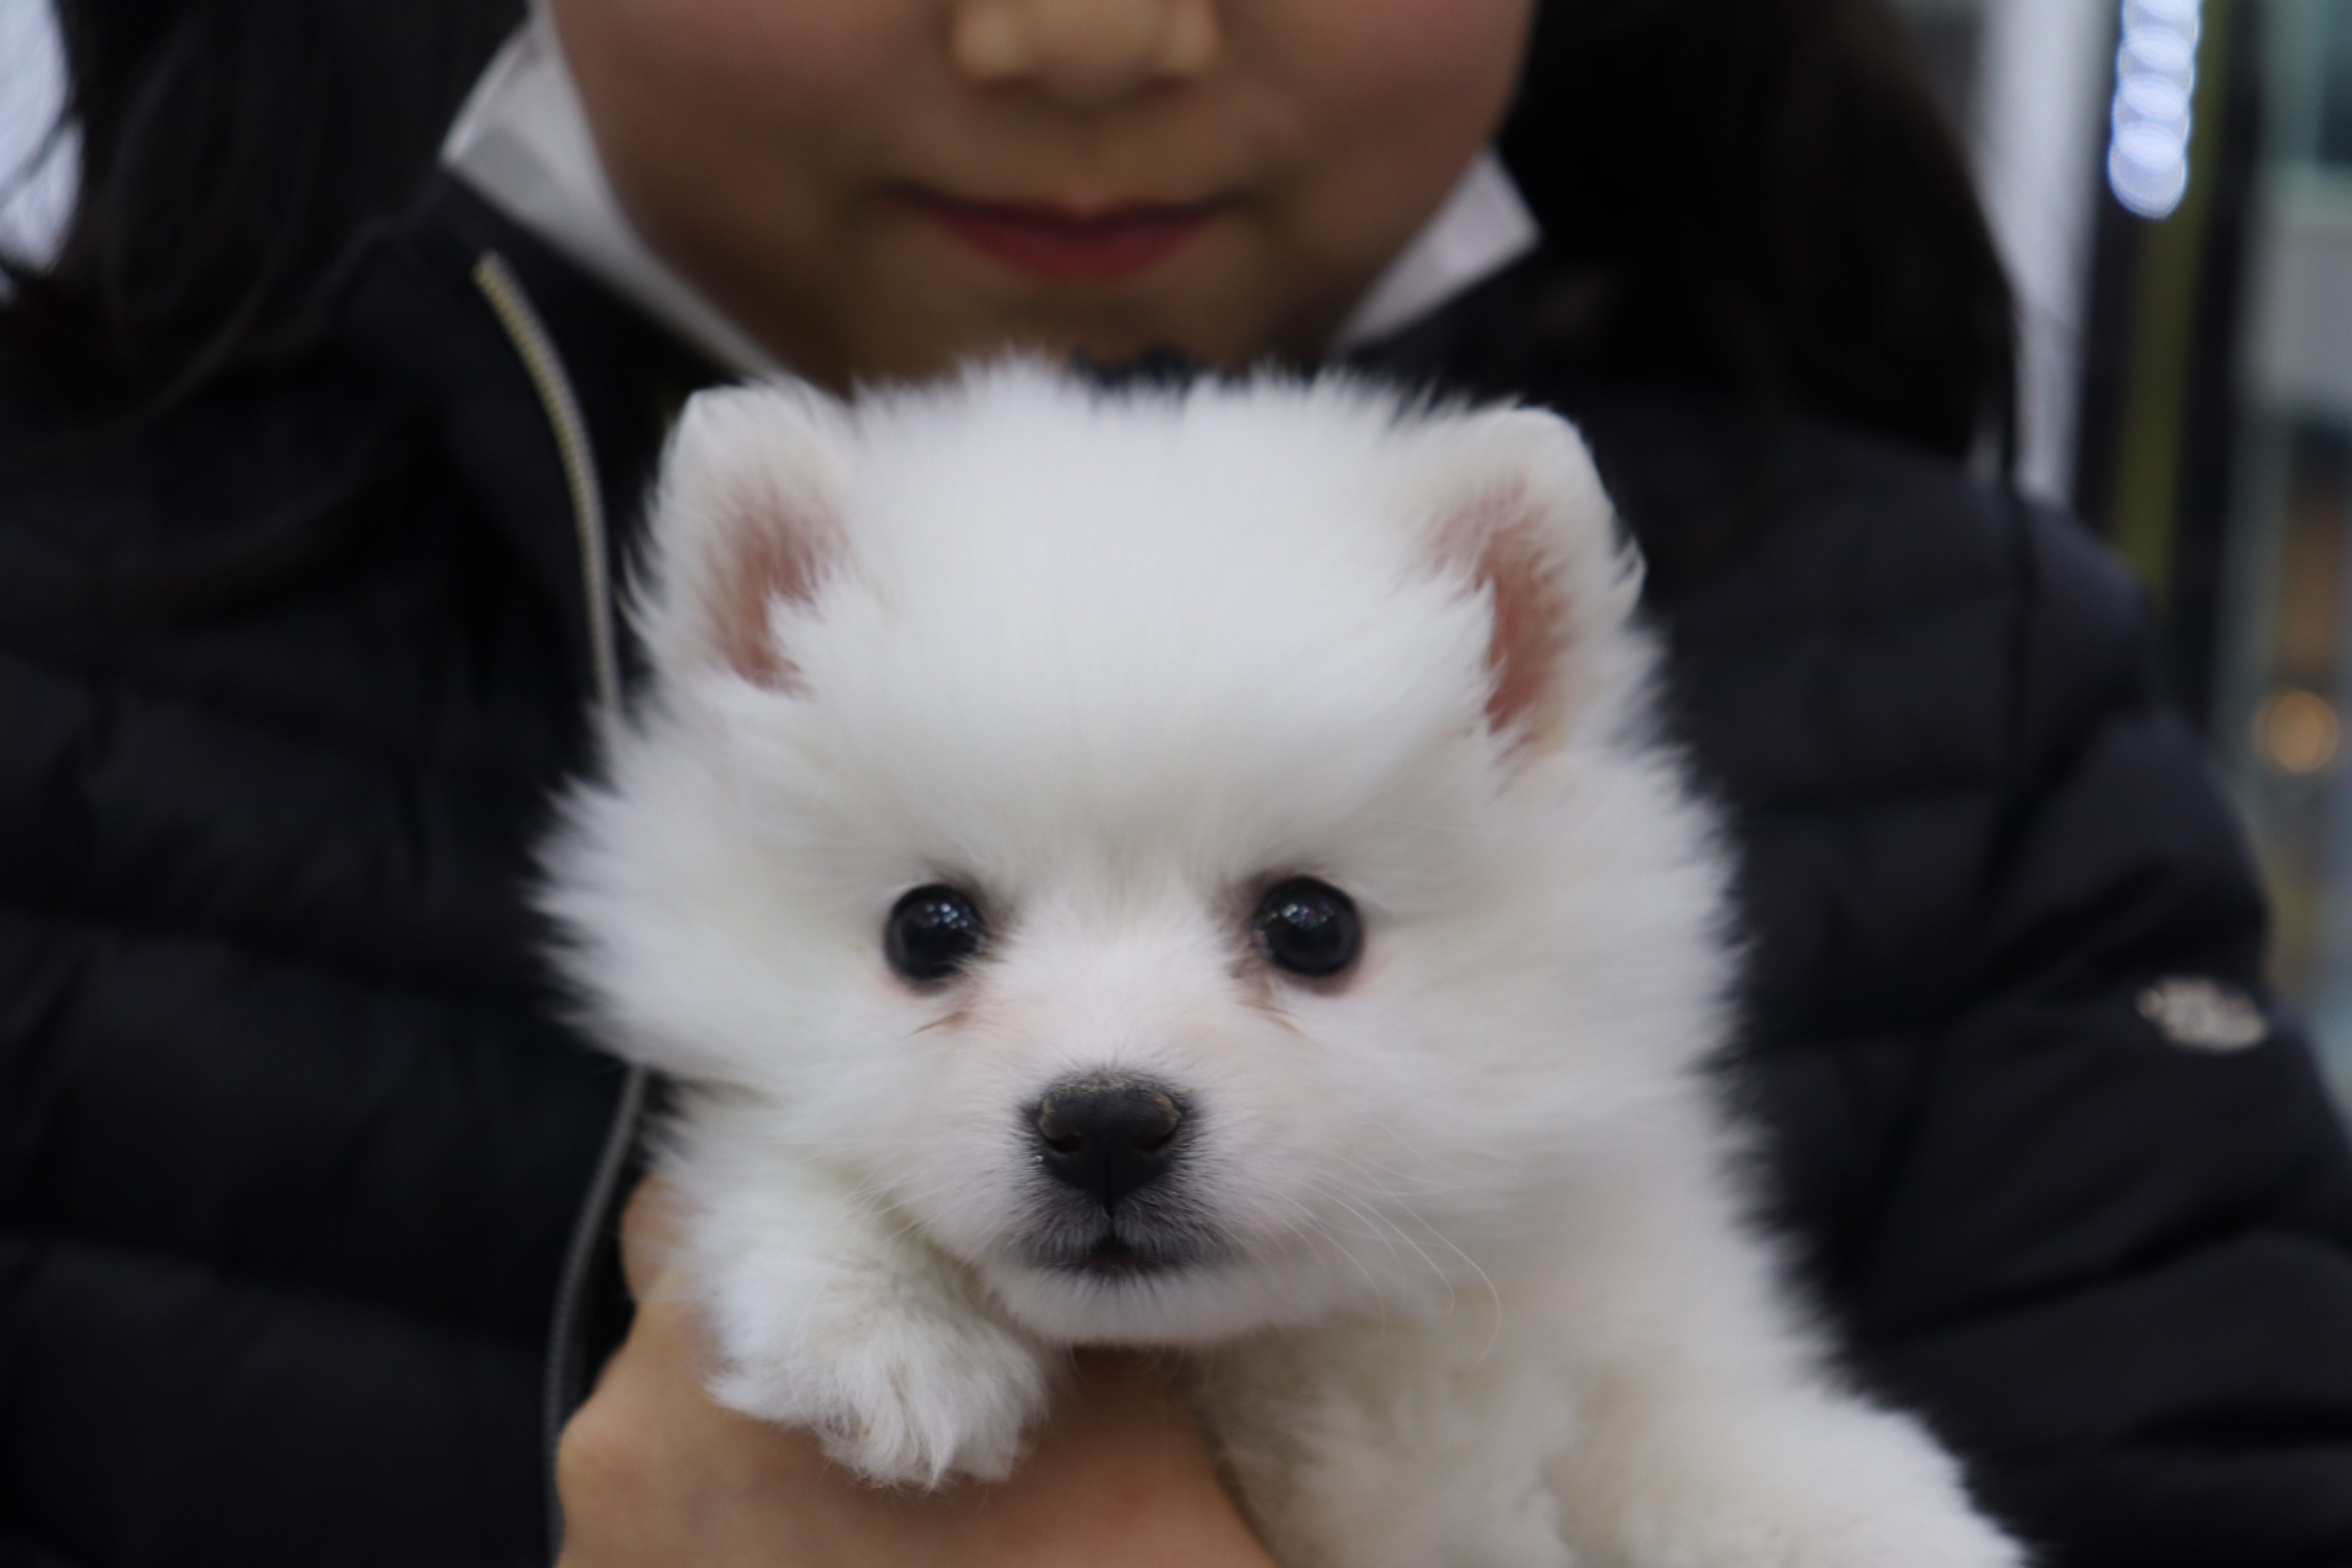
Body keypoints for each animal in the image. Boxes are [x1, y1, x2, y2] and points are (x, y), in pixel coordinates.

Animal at [540, 362, 2023, 1568]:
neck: (1264, 1357)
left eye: (1313, 926)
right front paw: (890, 1328)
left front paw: (1875, 1519)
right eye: (928, 928)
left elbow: (1690, 1441)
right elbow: (769, 1143)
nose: (1107, 1123)